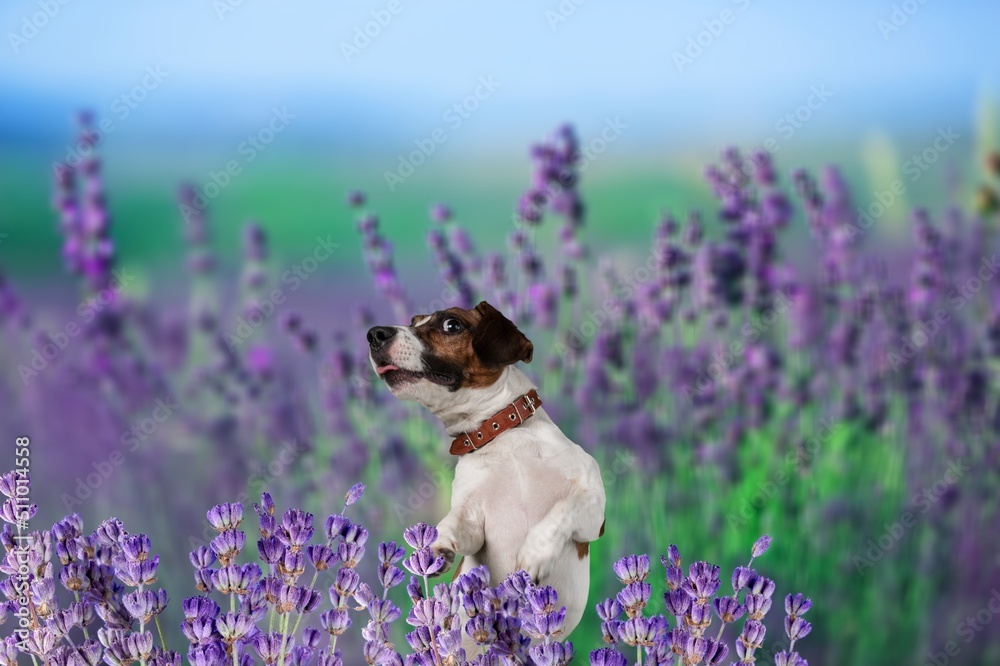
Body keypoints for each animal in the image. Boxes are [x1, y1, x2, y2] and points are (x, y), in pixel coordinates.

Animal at [366, 300, 604, 632]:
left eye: (451, 324)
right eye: (413, 321)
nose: (374, 334)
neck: (501, 435)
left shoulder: (593, 511)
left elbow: (560, 512)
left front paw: (534, 555)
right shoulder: (473, 523)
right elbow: (451, 523)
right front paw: (435, 546)